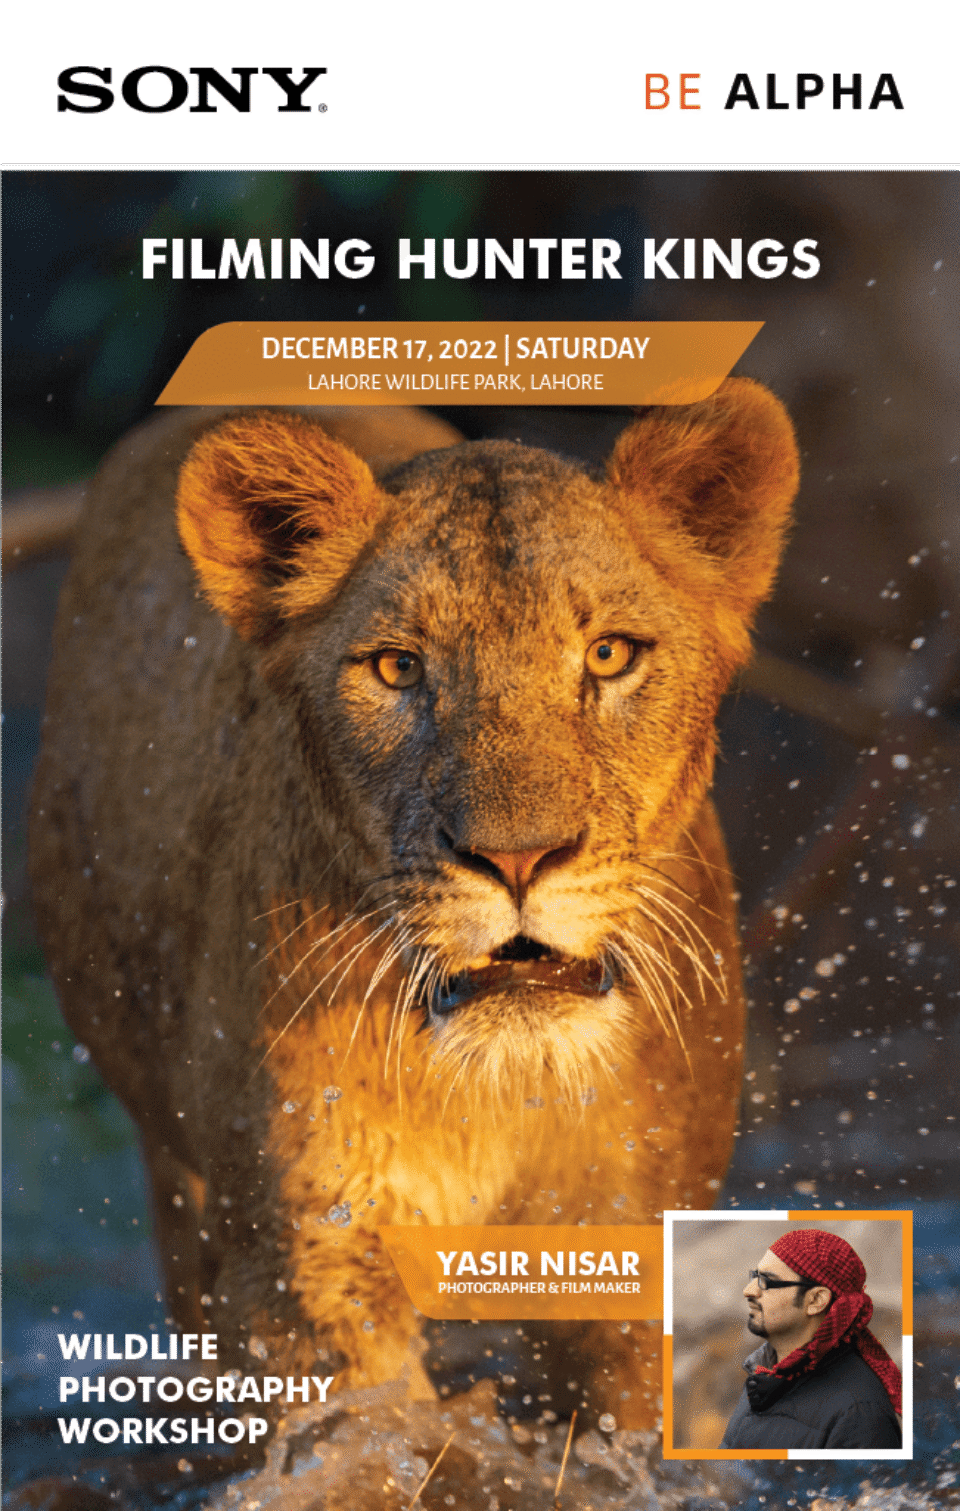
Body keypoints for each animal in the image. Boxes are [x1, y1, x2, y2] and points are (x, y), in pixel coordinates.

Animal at [29, 381, 798, 1428]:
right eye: (397, 668)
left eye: (608, 655)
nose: (517, 857)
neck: (505, 1092)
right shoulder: (309, 1269)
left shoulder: (627, 1249)